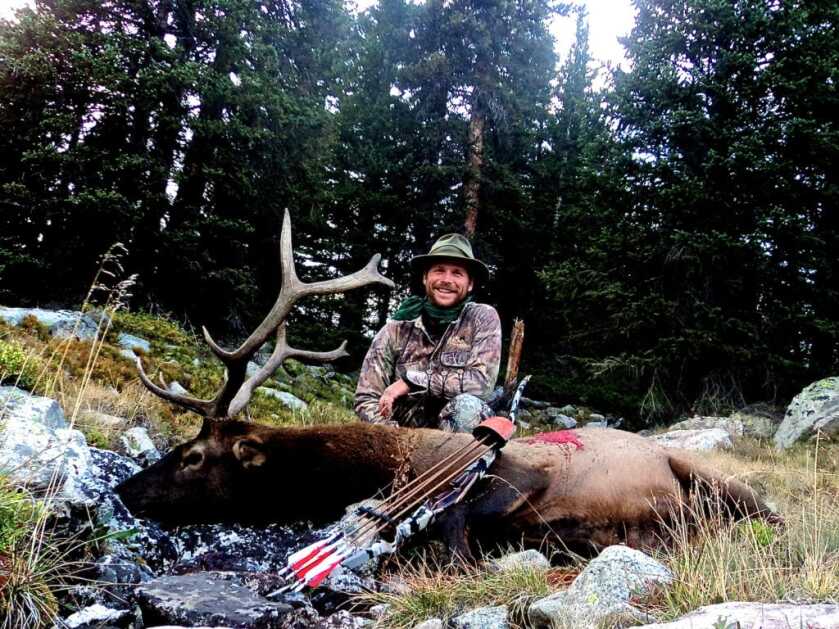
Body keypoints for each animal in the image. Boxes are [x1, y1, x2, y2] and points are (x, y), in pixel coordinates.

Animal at [116, 211, 779, 562]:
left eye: (192, 456)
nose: (124, 490)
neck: (368, 469)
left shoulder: (512, 474)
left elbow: (456, 525)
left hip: (717, 476)